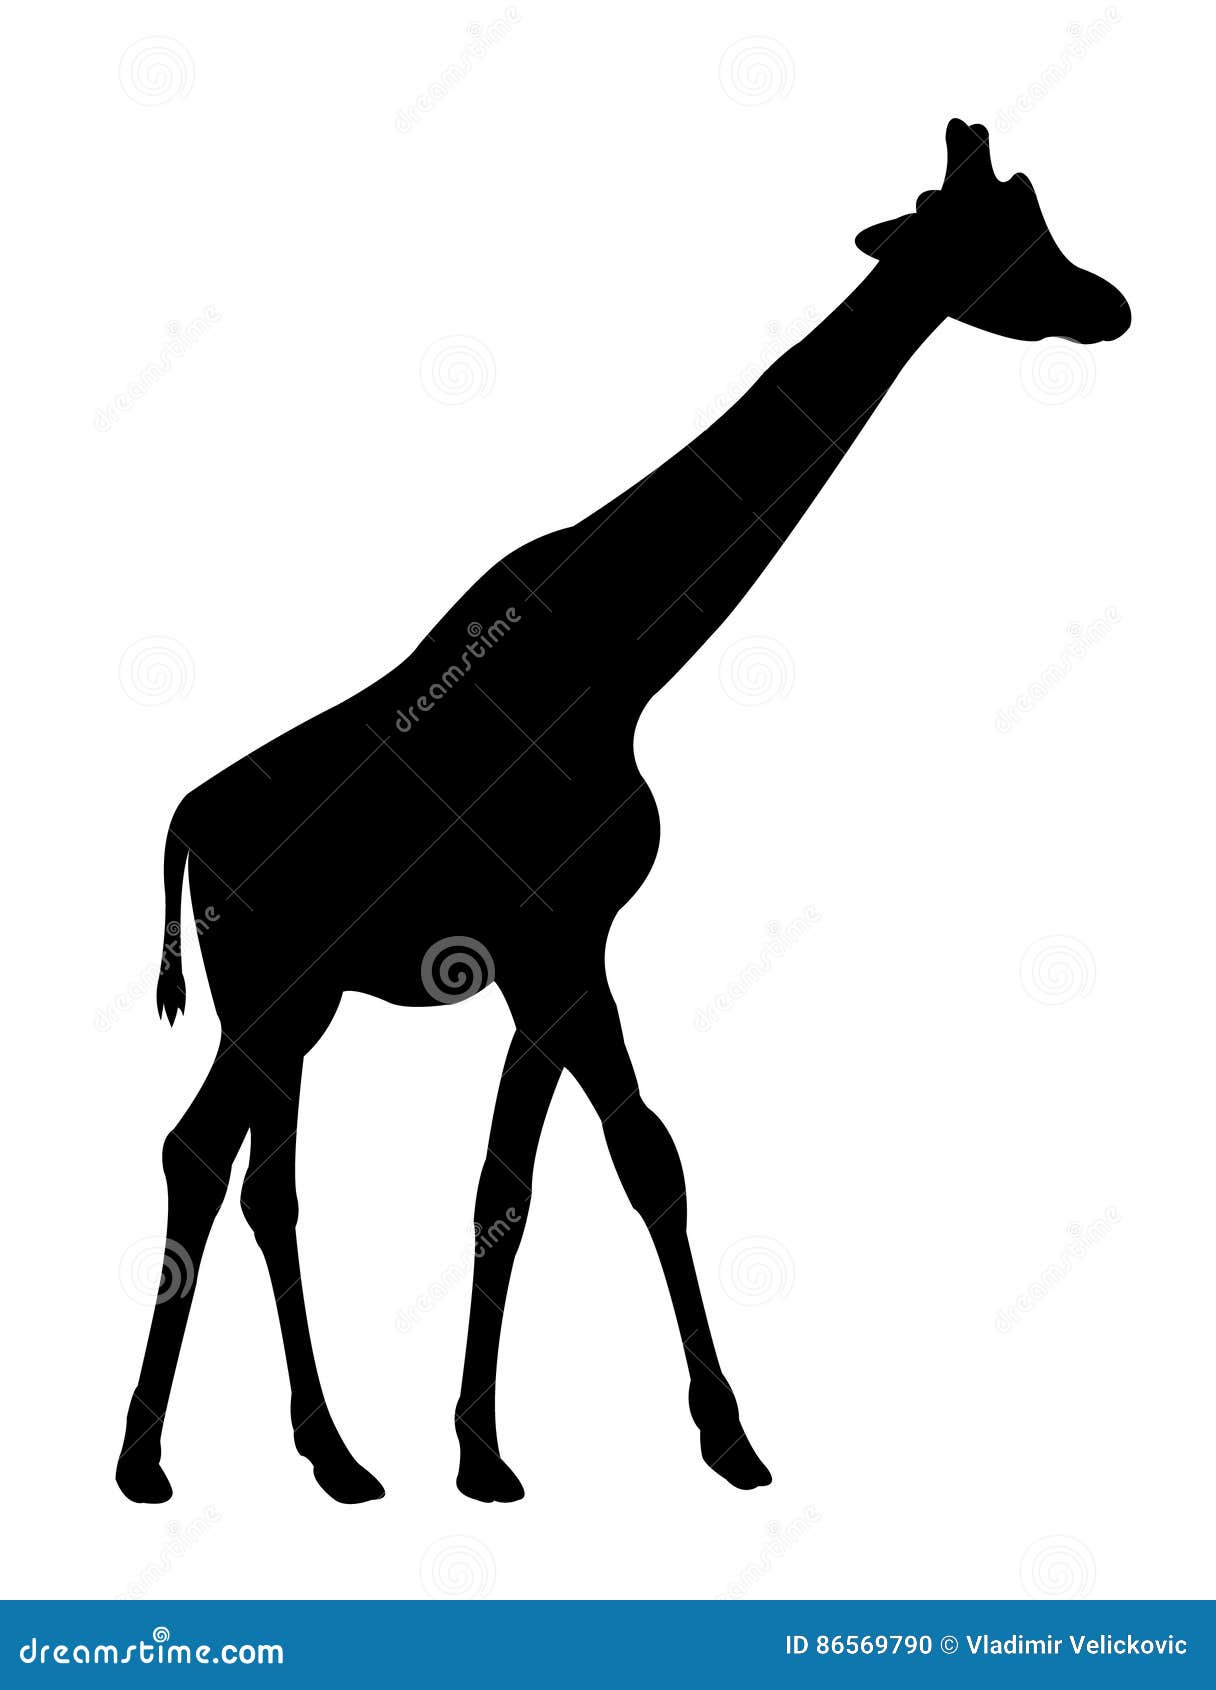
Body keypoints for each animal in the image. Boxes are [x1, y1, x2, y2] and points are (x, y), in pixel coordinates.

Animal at [117, 121, 1128, 1505]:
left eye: (1036, 213)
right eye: (1003, 238)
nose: (1110, 305)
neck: (623, 654)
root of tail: (184, 824)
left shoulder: (559, 950)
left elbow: (546, 1176)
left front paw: (497, 1447)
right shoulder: (552, 943)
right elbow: (609, 1162)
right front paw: (697, 1440)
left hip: (296, 1001)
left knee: (267, 1179)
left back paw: (333, 1453)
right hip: (272, 991)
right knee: (198, 1154)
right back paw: (145, 1461)